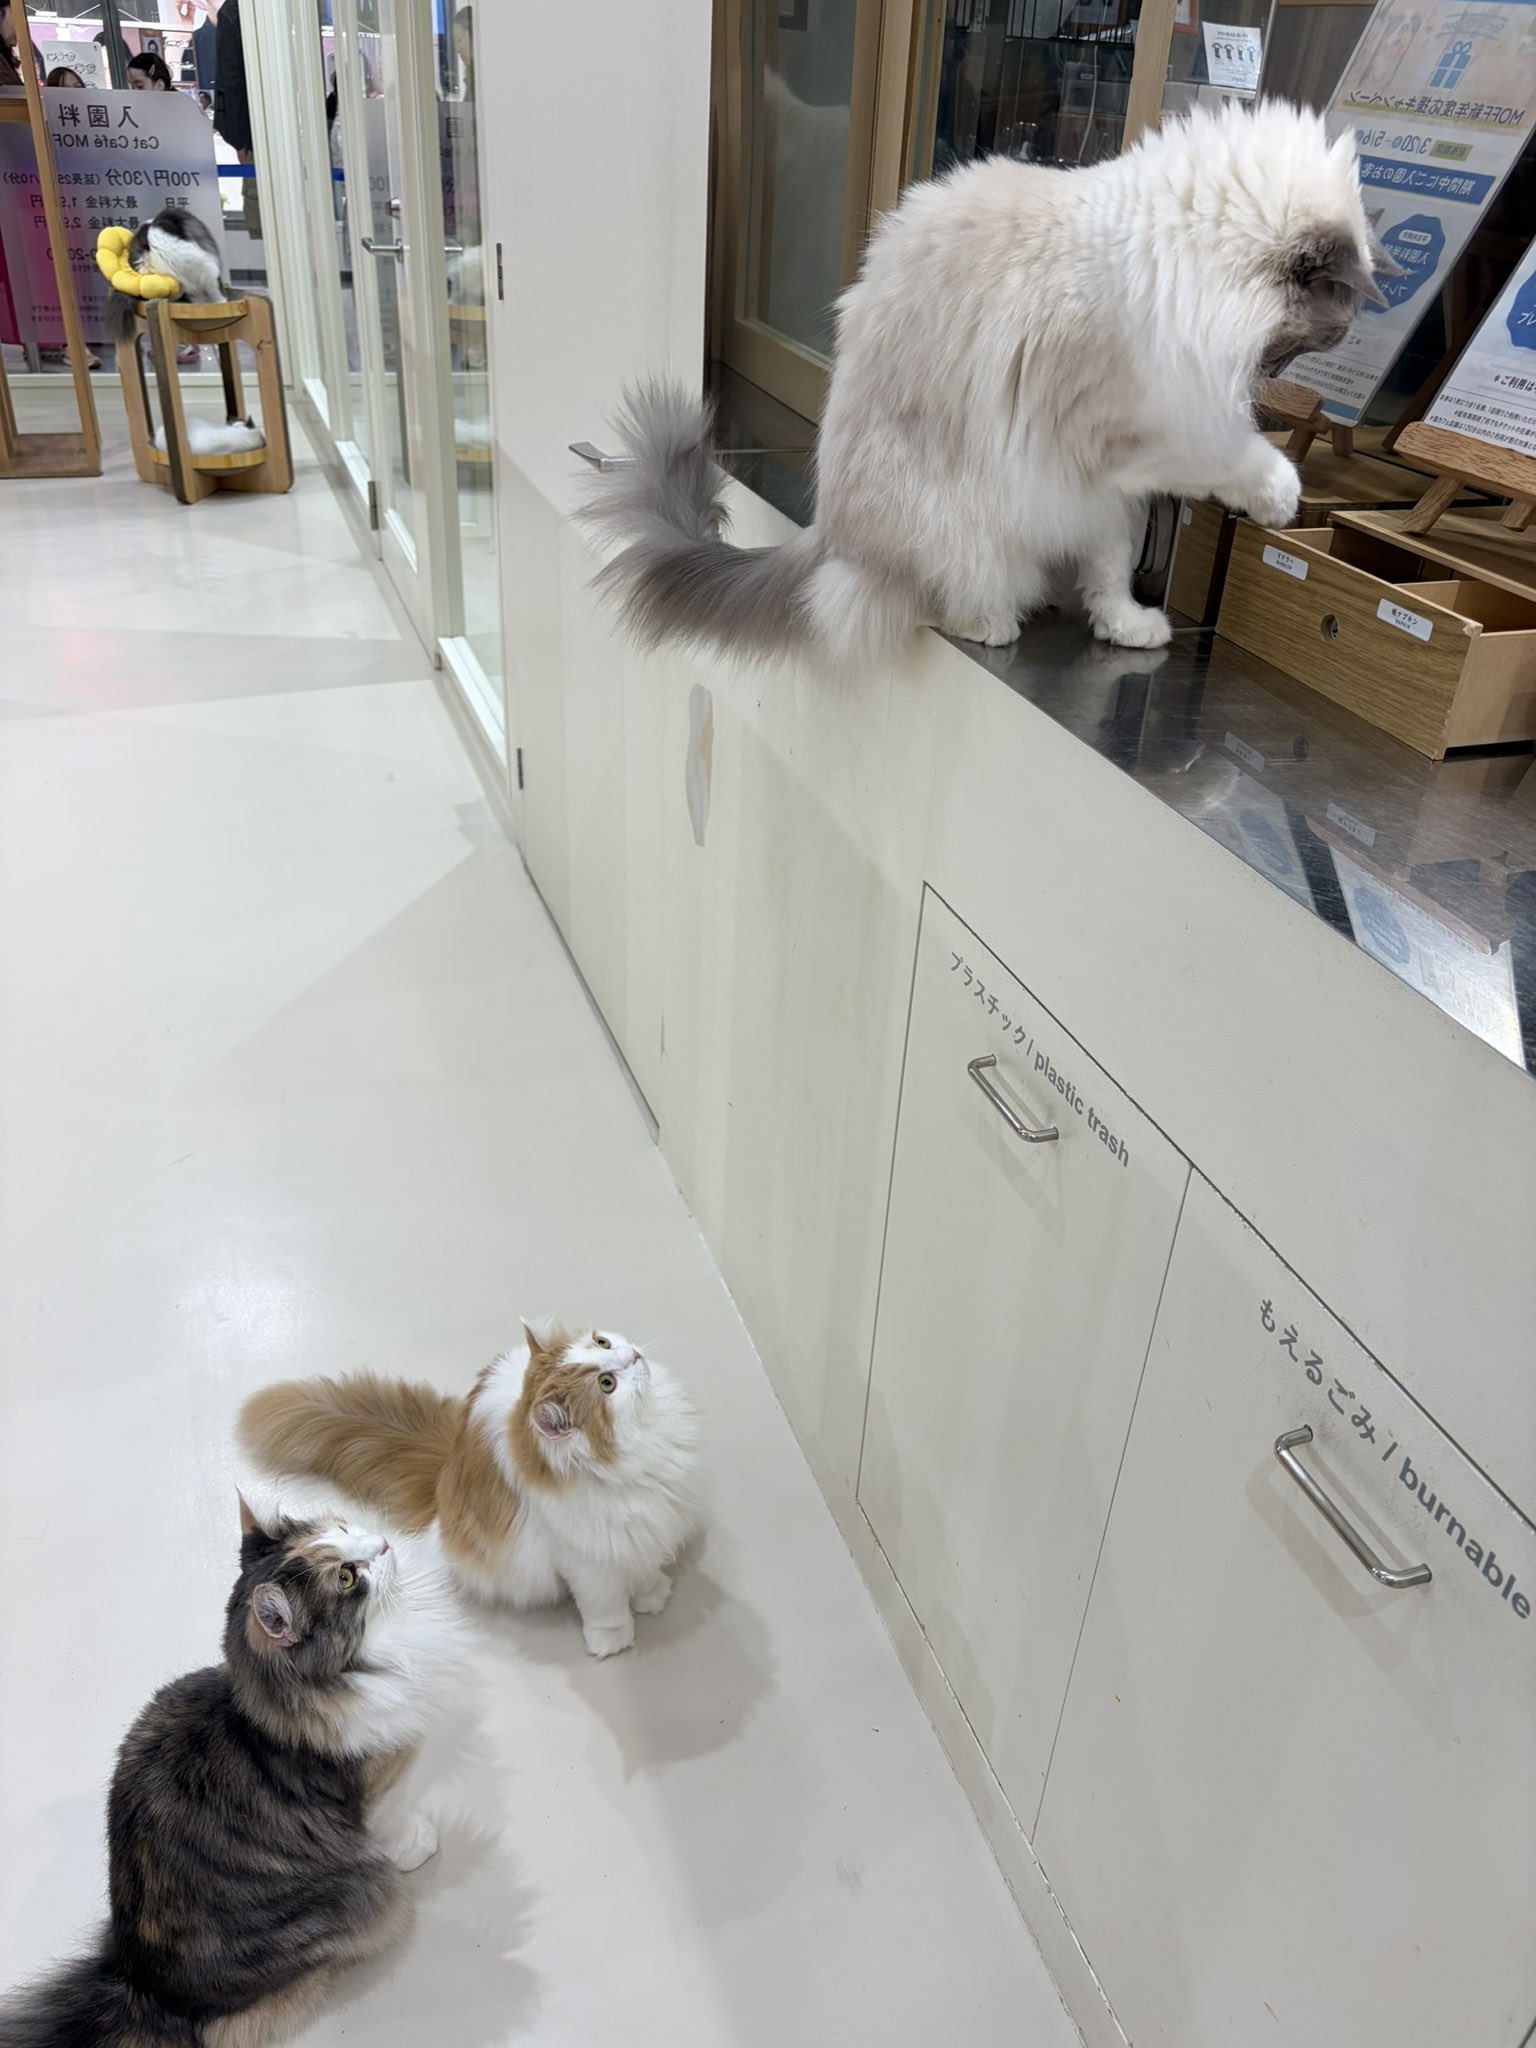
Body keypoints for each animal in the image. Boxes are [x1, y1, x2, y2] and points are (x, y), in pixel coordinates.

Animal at [0, 1497, 465, 2048]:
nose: (383, 1543)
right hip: (365, 1898)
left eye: (345, 1527)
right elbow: (395, 1829)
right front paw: (420, 1843)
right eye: (347, 1577)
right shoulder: (378, 1791)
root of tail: (141, 1986)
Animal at [240, 1322, 700, 1660]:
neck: (643, 1444)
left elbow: (643, 1568)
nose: (633, 1354)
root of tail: (445, 1465)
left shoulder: (644, 1524)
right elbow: (603, 1604)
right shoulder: (586, 1557)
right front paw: (613, 1638)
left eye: (602, 1341)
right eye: (607, 1384)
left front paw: (653, 1593)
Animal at [583, 99, 1391, 663]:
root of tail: (829, 533)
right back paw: (993, 622)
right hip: (964, 524)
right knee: (914, 599)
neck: (1178, 263)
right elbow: (1239, 459)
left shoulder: (1116, 488)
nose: (1288, 374)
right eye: (1314, 332)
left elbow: (1111, 569)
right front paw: (1283, 495)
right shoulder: (1146, 429)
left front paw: (1129, 623)